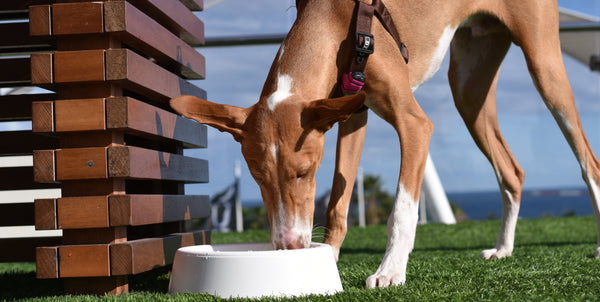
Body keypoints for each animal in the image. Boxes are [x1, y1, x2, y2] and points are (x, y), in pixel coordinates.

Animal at [170, 0, 600, 288]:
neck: (335, 19)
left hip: (544, 66)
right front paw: (326, 262)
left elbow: (402, 211)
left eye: (304, 173)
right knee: (512, 171)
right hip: (468, 89)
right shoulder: (351, 116)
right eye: (258, 180)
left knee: (588, 162)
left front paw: (390, 270)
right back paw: (504, 249)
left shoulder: (414, 125)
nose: (288, 246)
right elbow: (338, 207)